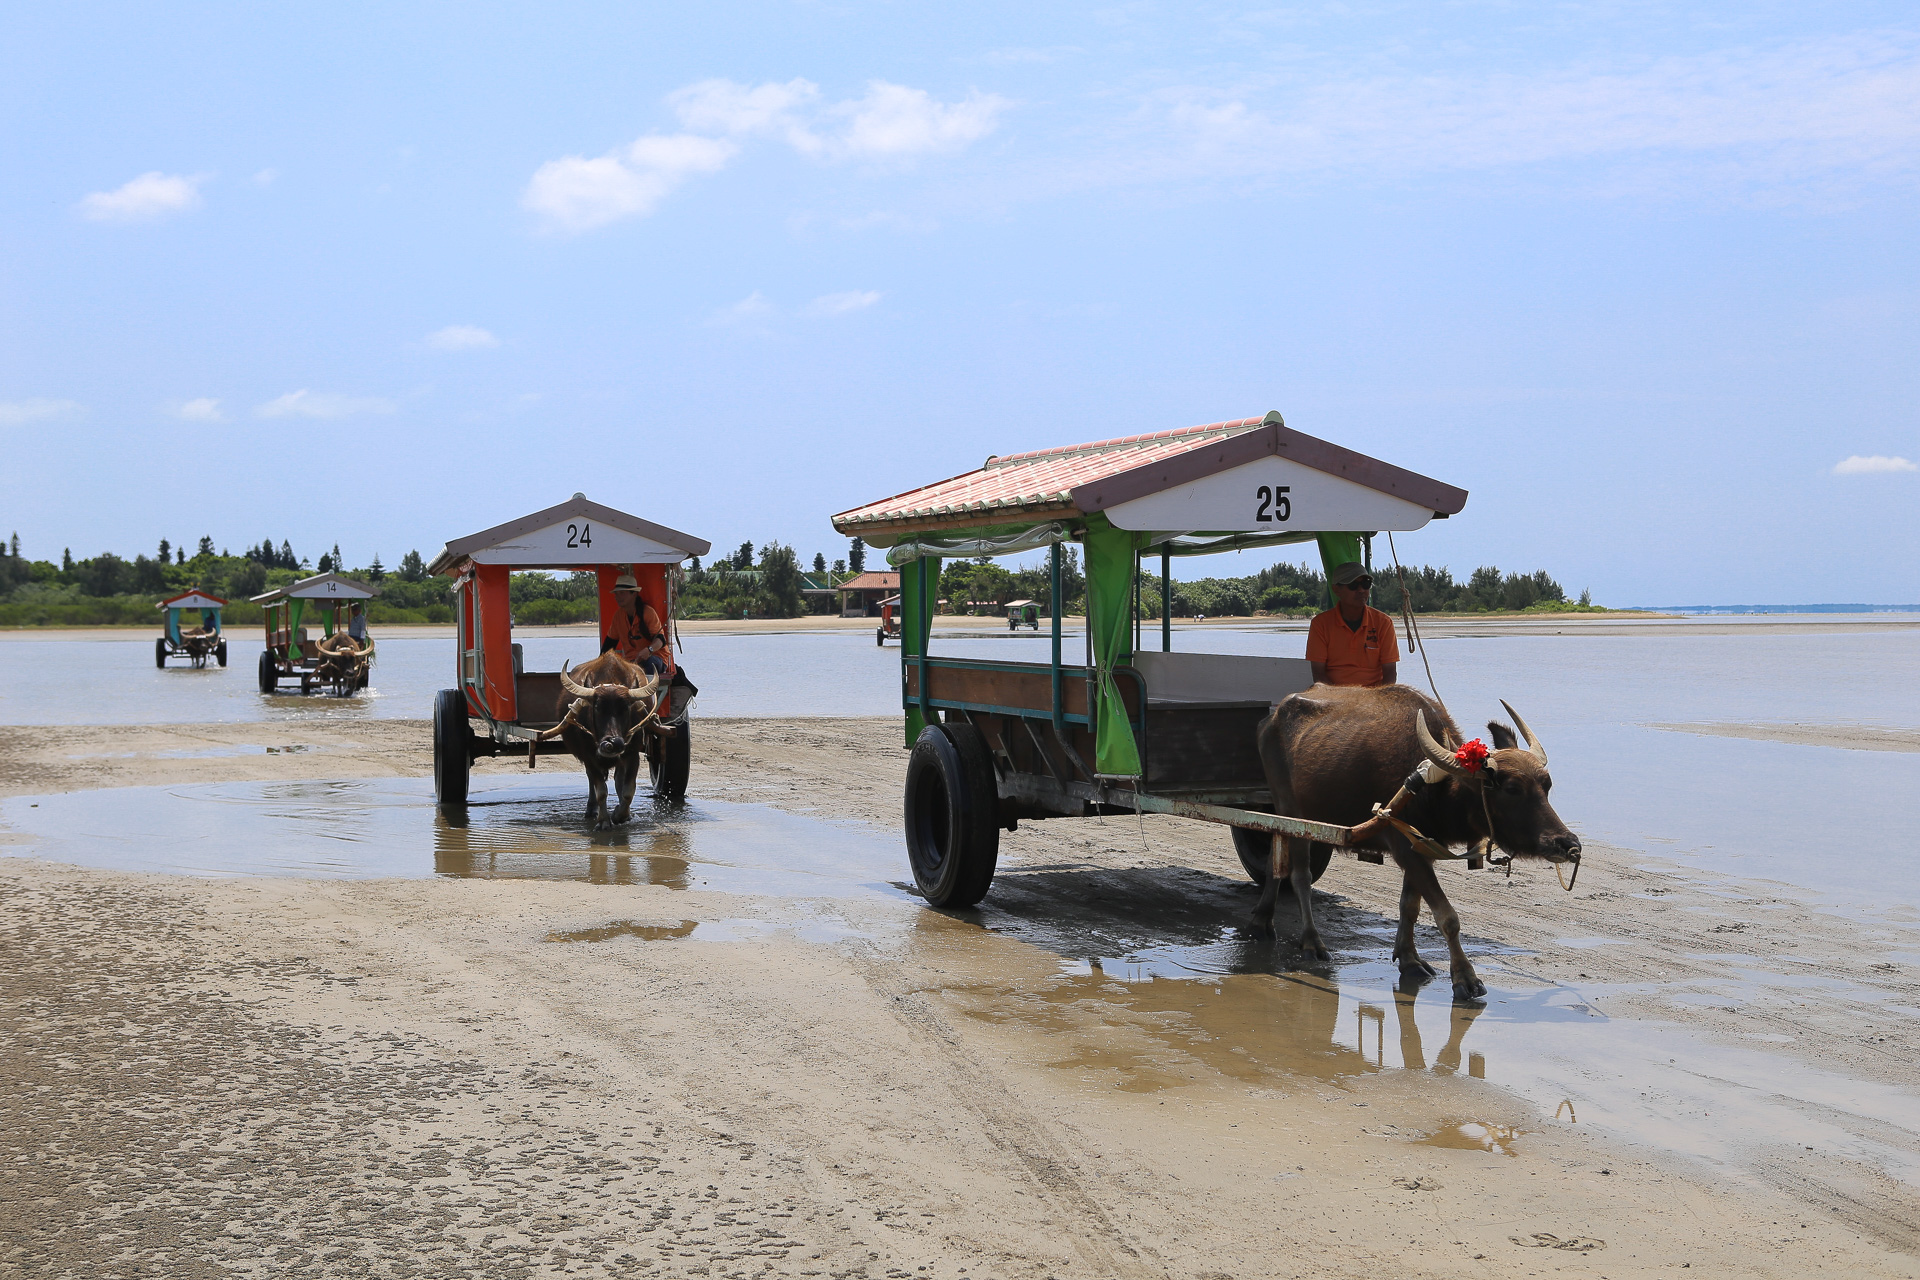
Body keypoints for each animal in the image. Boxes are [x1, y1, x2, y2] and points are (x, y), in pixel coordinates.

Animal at [552, 656, 664, 825]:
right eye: (597, 707)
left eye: (626, 708)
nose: (613, 743)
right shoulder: (589, 756)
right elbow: (601, 790)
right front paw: (604, 821)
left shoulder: (632, 754)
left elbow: (628, 790)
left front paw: (620, 815)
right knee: (591, 780)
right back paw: (591, 809)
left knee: (618, 780)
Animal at [1251, 687, 1582, 1005]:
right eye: (1512, 789)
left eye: (1547, 785)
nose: (1568, 844)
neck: (1433, 788)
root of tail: (1270, 719)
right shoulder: (1405, 850)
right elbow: (1447, 917)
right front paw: (1466, 979)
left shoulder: (1422, 849)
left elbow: (1409, 906)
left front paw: (1409, 959)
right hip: (1292, 813)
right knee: (1300, 877)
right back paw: (1311, 941)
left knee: (1274, 862)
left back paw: (1262, 918)